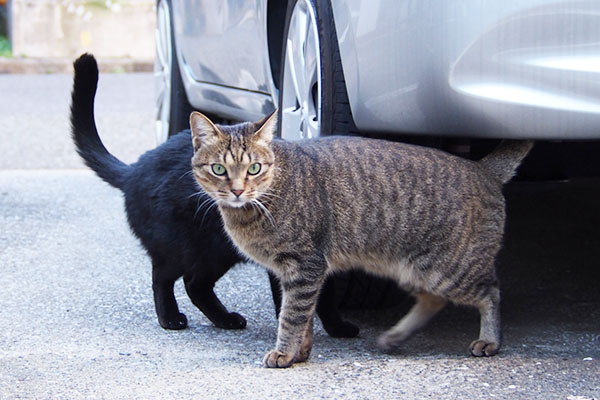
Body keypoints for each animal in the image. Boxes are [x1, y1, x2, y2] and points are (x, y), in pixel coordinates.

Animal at [69, 51, 356, 336]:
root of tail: (136, 168)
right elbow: (289, 299)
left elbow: (327, 294)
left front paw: (336, 326)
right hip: (183, 247)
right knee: (163, 276)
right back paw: (170, 317)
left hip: (216, 251)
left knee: (195, 284)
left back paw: (225, 319)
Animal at [190, 110, 532, 368]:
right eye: (219, 169)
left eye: (254, 168)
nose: (237, 190)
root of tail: (482, 169)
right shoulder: (297, 274)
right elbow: (304, 319)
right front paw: (300, 353)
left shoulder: (305, 267)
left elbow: (292, 317)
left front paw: (284, 353)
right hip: (413, 271)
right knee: (434, 300)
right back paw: (395, 337)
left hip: (448, 271)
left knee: (491, 293)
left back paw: (489, 340)